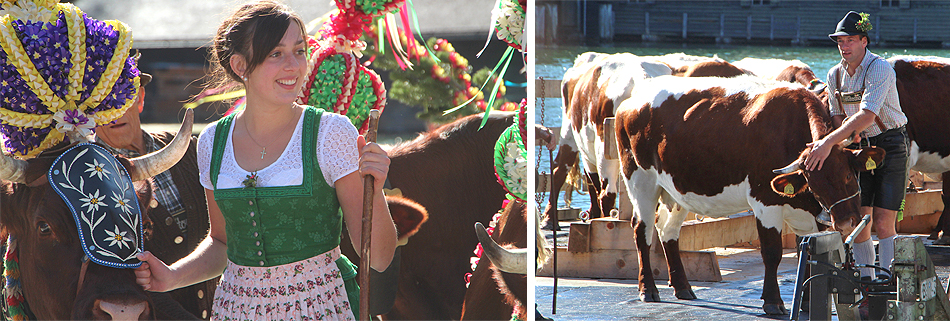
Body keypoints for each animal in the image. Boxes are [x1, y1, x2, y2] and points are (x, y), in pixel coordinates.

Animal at [616, 75, 884, 316]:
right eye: (814, 185)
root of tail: (630, 101)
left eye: (848, 175)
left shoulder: (813, 213)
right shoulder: (766, 202)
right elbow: (772, 252)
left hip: (676, 191)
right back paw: (648, 289)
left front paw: (807, 303)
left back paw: (683, 287)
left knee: (668, 231)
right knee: (642, 230)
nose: (847, 223)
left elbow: (808, 253)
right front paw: (773, 302)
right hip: (641, 182)